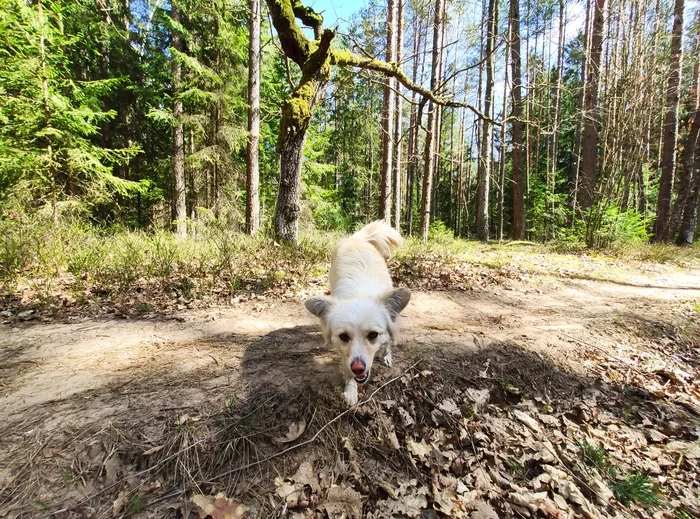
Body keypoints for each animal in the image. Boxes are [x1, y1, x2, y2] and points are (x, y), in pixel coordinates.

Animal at [304, 219, 410, 406]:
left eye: (373, 334)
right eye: (343, 336)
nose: (358, 368)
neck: (360, 294)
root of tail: (357, 238)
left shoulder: (391, 324)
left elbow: (387, 343)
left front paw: (386, 355)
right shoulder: (343, 352)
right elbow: (347, 369)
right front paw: (351, 390)